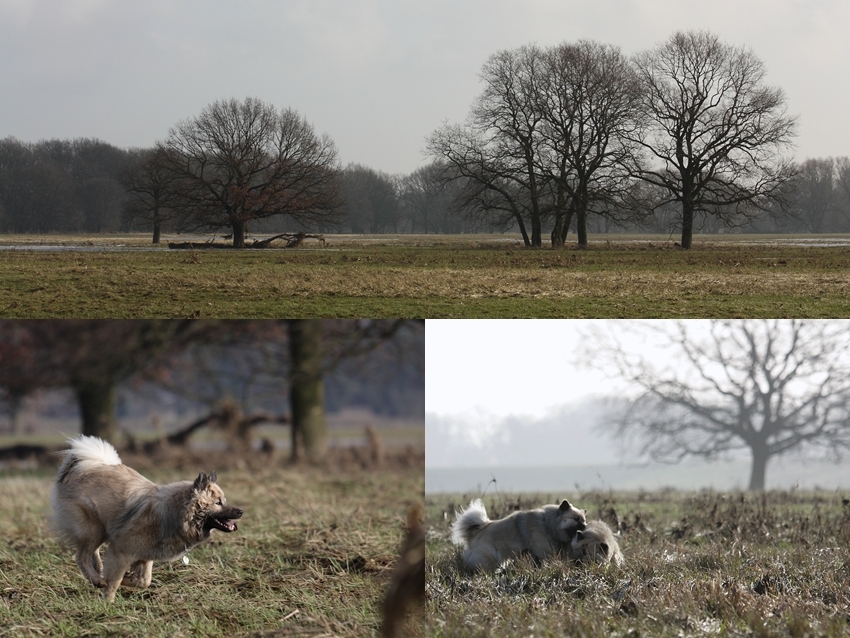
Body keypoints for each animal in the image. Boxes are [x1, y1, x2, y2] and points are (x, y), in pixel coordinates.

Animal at [52, 436, 242, 600]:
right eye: (218, 502)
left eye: (224, 500)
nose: (241, 512)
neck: (175, 514)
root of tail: (87, 465)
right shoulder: (122, 552)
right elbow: (115, 581)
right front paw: (107, 601)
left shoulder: (146, 555)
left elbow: (144, 581)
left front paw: (126, 580)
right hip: (93, 529)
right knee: (81, 556)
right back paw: (96, 579)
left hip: (101, 530)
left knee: (92, 553)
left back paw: (98, 572)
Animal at [450, 498, 584, 572]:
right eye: (576, 519)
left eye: (584, 520)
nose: (584, 527)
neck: (548, 524)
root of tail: (474, 533)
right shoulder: (543, 553)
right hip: (490, 558)